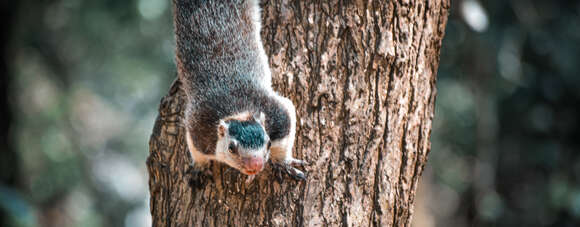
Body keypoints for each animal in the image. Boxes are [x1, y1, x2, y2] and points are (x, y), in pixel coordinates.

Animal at [172, 0, 306, 182]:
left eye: (269, 143)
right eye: (231, 148)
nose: (255, 166)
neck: (239, 110)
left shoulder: (278, 113)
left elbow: (287, 125)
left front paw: (283, 164)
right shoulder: (198, 127)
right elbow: (196, 150)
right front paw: (200, 168)